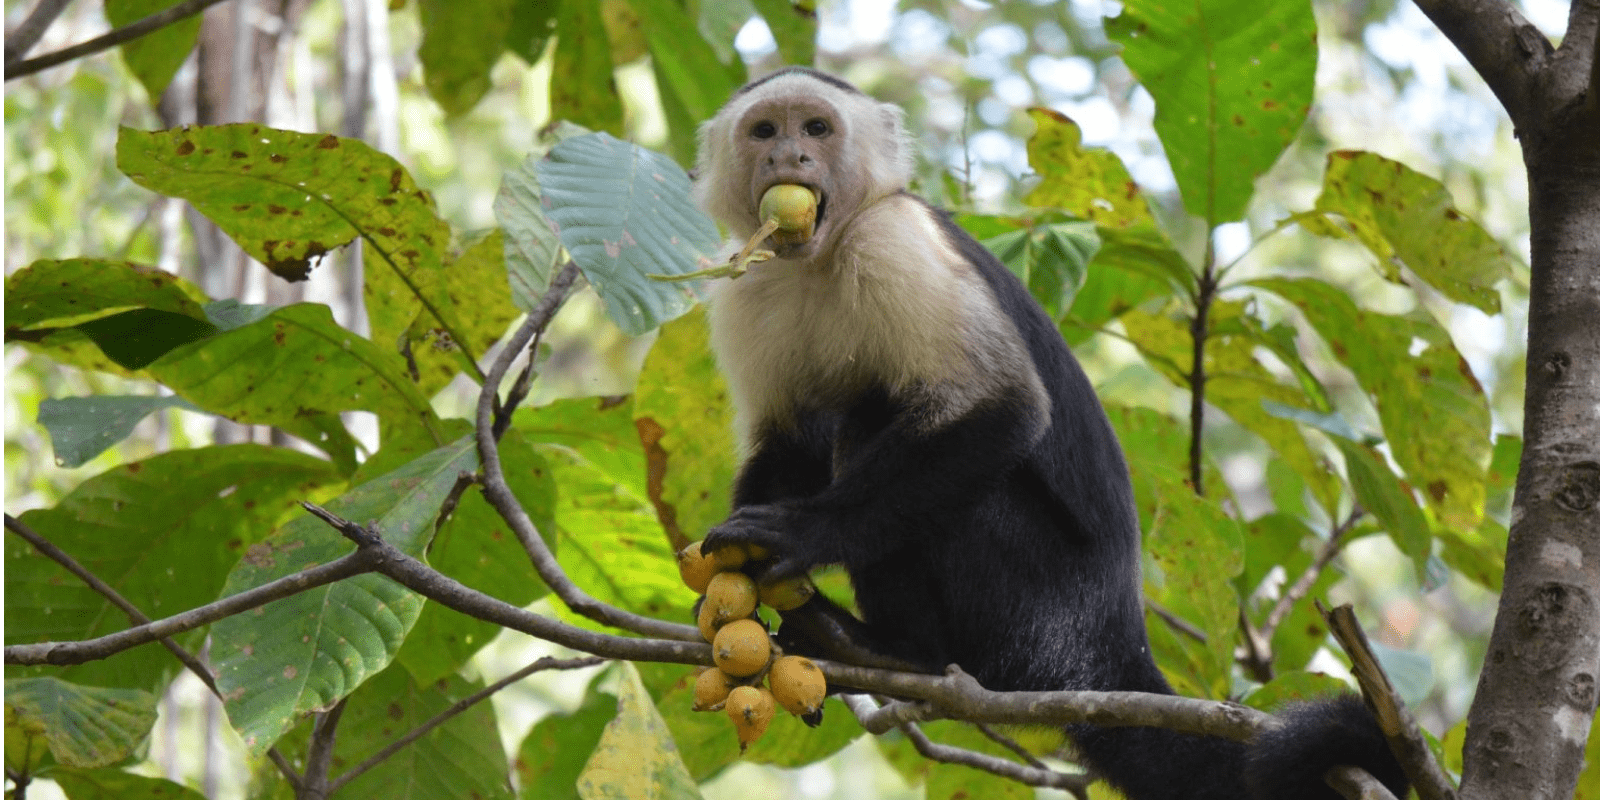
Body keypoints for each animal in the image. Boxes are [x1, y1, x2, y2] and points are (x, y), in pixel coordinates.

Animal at [694, 68, 1408, 800]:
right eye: (764, 131)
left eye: (816, 129)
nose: (790, 157)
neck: (820, 255)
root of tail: (1112, 647)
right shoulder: (746, 285)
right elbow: (787, 442)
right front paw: (730, 575)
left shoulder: (894, 240)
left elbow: (1004, 410)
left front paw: (805, 533)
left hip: (1039, 613)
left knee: (880, 427)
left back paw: (898, 652)